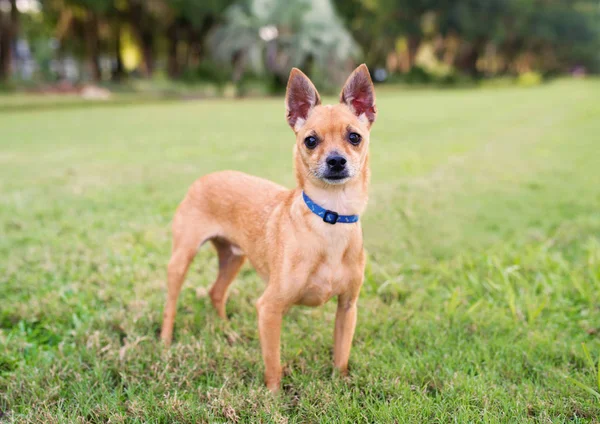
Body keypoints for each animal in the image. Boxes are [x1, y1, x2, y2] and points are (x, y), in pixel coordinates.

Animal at [159, 63, 376, 390]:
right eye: (310, 140)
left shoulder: (347, 308)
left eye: (354, 137)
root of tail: (205, 177)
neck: (330, 217)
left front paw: (340, 384)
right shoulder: (270, 309)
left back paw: (227, 331)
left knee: (216, 292)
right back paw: (165, 341)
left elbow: (341, 355)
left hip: (233, 258)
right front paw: (273, 397)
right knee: (172, 301)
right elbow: (273, 365)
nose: (336, 161)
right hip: (183, 257)